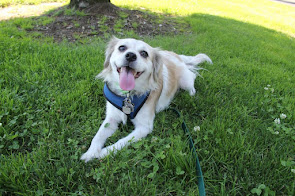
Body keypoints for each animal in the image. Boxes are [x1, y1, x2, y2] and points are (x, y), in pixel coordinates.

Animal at [80, 37, 213, 162]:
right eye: (122, 48)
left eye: (144, 53)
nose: (131, 55)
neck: (128, 95)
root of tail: (176, 56)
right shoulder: (111, 118)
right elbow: (98, 135)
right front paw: (91, 153)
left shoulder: (144, 127)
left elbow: (122, 141)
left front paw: (103, 152)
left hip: (185, 81)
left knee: (192, 77)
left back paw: (192, 93)